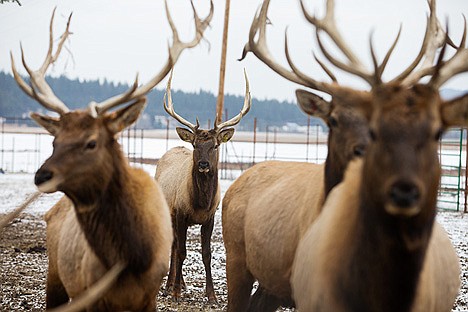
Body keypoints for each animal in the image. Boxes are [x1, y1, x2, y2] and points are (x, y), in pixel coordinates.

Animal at [10, 1, 212, 310]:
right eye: (55, 140)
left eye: (92, 142)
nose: (42, 175)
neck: (131, 262)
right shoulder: (91, 295)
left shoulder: (148, 296)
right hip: (56, 276)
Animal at [155, 69, 252, 302]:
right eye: (195, 144)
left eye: (215, 145)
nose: (203, 164)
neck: (199, 203)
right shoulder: (180, 213)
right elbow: (182, 251)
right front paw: (175, 293)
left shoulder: (210, 217)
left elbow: (206, 254)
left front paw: (212, 296)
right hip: (168, 212)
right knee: (174, 246)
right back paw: (170, 286)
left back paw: (180, 283)